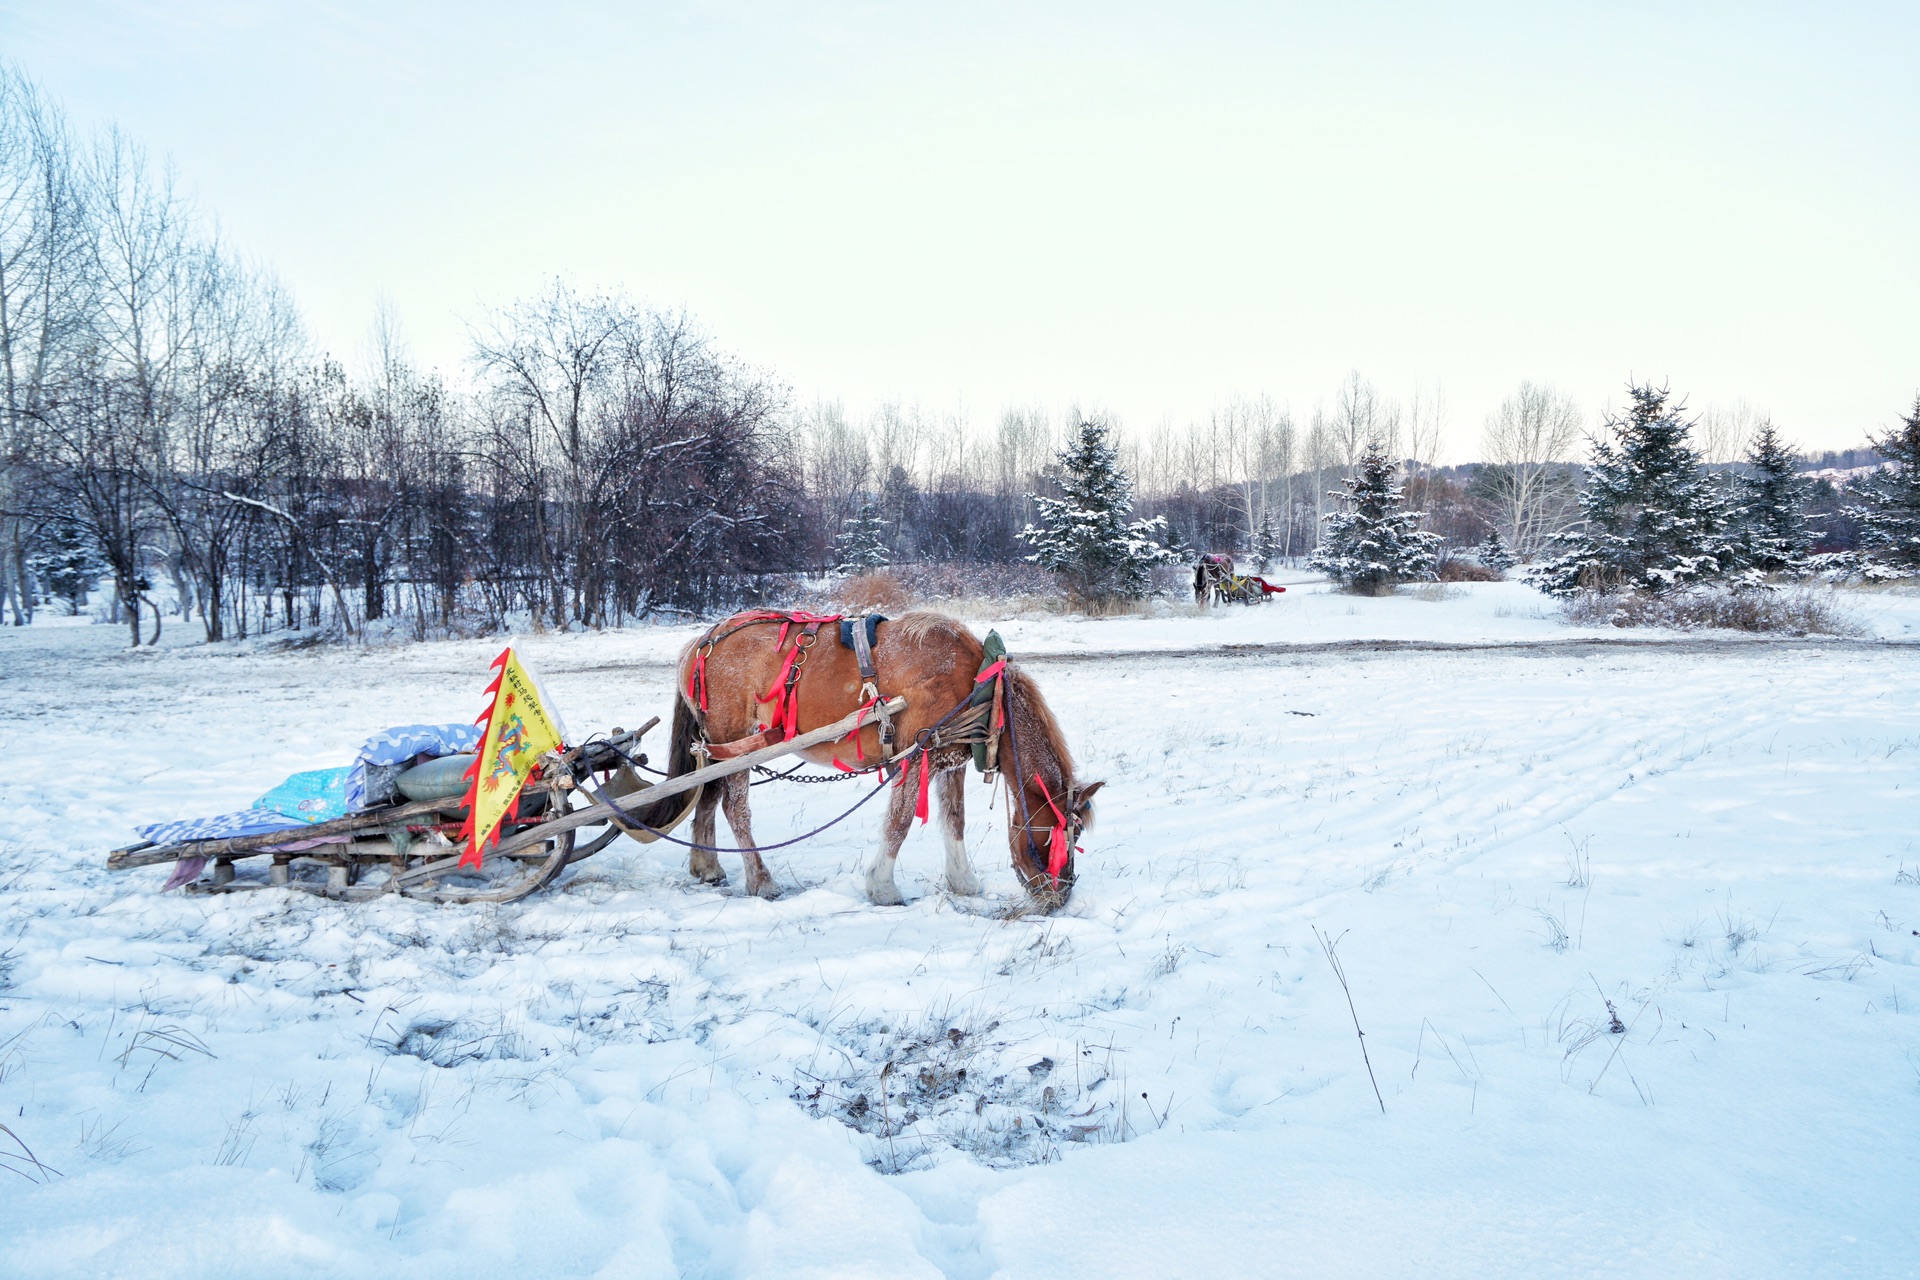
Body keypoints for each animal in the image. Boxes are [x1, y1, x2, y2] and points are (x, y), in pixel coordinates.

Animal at [641, 610, 1105, 909]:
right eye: (1072, 831)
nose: (1060, 895)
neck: (981, 689)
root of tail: (700, 644)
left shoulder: (949, 758)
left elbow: (954, 820)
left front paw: (963, 881)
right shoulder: (916, 753)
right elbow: (899, 823)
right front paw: (882, 887)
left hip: (719, 744)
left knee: (706, 795)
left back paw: (706, 865)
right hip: (736, 737)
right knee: (734, 808)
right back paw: (760, 879)